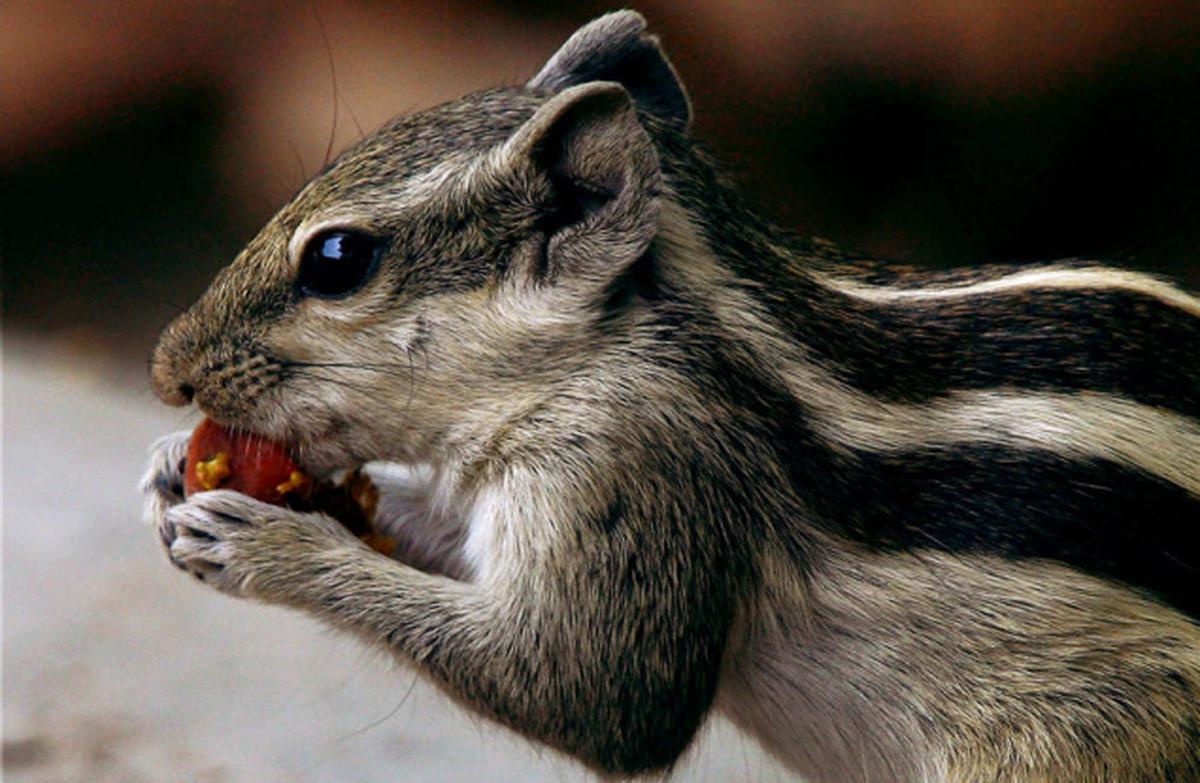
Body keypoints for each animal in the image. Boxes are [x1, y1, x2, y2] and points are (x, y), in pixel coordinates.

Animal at [145, 12, 1200, 783]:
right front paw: (169, 472)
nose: (167, 370)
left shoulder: (637, 464)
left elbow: (595, 695)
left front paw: (269, 545)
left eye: (337, 259)